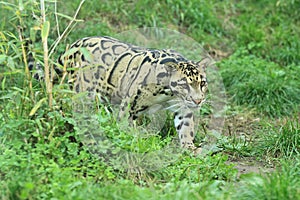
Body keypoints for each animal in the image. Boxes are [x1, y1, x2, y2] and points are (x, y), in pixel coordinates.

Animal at [44, 36, 211, 152]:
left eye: (202, 83)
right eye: (184, 85)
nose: (198, 101)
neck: (168, 94)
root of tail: (76, 43)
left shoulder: (183, 108)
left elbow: (186, 127)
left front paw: (189, 148)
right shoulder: (129, 106)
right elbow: (126, 127)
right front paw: (137, 140)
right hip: (82, 91)